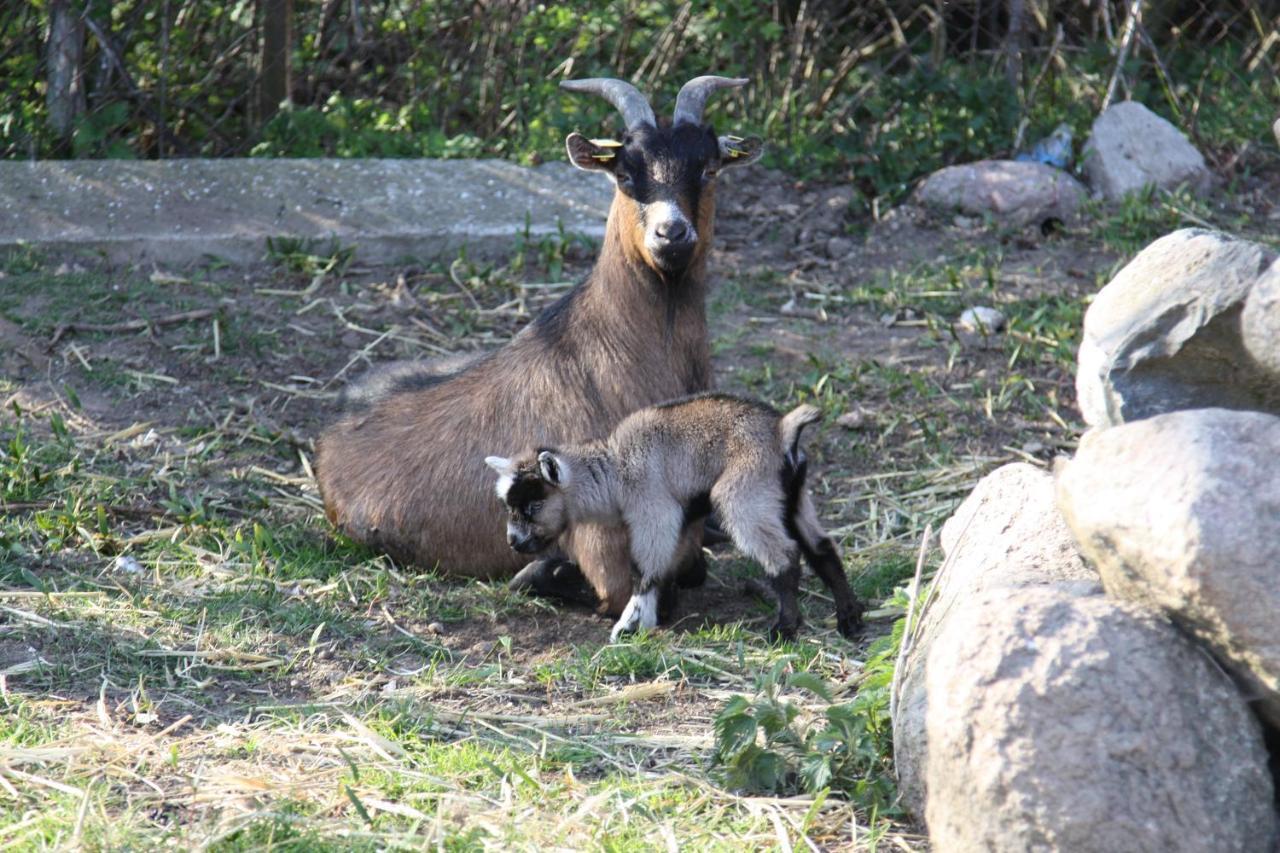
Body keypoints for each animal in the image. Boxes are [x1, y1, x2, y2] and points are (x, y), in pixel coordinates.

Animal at [483, 391, 865, 637]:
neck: (616, 471)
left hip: (746, 493)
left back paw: (785, 628)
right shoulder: (679, 522)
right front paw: (649, 617)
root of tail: (782, 430)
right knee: (822, 548)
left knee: (784, 556)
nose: (513, 541)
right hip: (792, 496)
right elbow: (665, 570)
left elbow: (645, 571)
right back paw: (849, 619)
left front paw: (628, 625)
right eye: (510, 506)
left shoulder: (654, 512)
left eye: (532, 506)